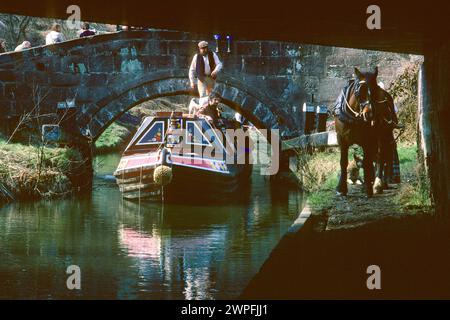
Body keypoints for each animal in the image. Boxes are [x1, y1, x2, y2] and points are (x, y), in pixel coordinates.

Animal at [334, 67, 394, 198]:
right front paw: (341, 188)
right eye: (359, 91)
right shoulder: (341, 139)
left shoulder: (367, 140)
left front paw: (368, 188)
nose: (370, 114)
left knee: (381, 157)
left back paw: (378, 184)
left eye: (375, 90)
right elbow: (343, 162)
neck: (353, 117)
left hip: (383, 136)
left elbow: (367, 162)